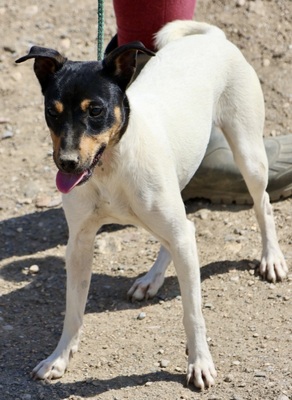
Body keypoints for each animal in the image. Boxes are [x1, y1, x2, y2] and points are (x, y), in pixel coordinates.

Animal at [16, 20, 288, 390]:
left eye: (95, 110)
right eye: (51, 112)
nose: (67, 164)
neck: (111, 167)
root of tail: (211, 37)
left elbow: (193, 313)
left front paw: (200, 363)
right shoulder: (79, 244)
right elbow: (73, 312)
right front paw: (58, 358)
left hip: (248, 154)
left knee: (262, 205)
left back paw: (271, 258)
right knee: (183, 230)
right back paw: (151, 279)